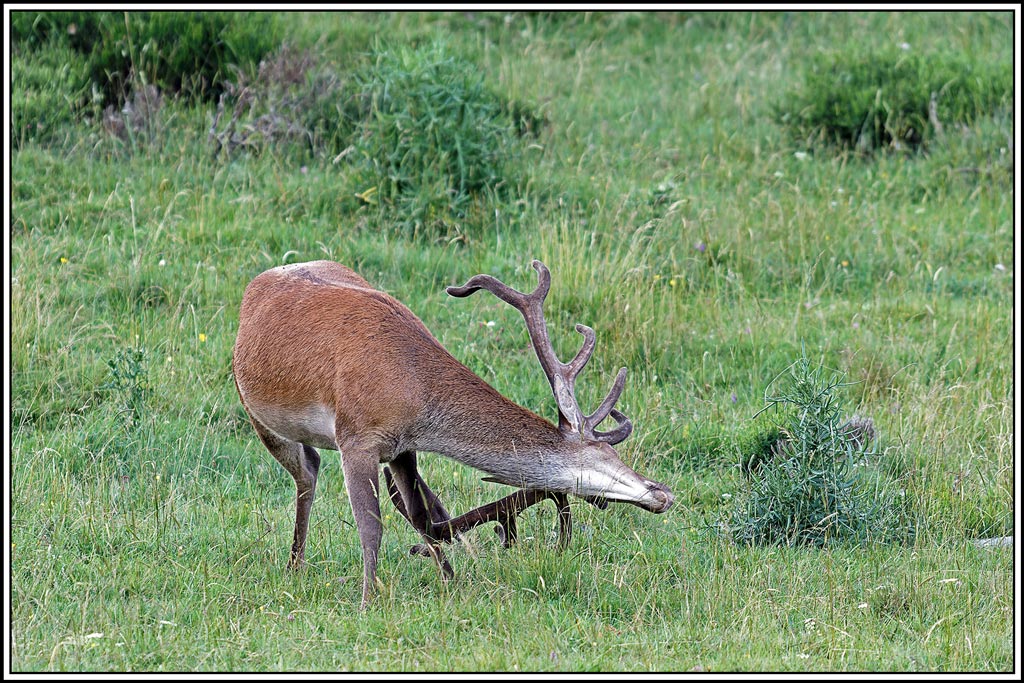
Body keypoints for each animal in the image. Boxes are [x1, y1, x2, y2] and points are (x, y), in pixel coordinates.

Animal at [232, 258, 674, 607]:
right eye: (607, 457)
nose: (663, 493)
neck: (412, 386)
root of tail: (259, 280)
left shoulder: (401, 446)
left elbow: (423, 516)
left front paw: (449, 581)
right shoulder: (357, 436)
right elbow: (371, 525)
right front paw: (368, 600)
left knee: (324, 469)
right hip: (256, 412)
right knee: (306, 472)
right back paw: (294, 565)